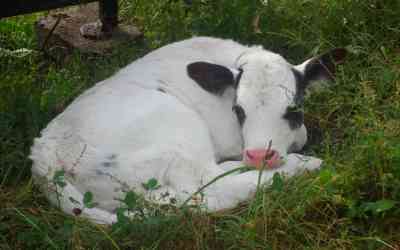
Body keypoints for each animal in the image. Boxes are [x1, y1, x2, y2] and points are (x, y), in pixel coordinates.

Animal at [29, 36, 346, 224]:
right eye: (238, 110)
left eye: (294, 109)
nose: (258, 156)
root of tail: (43, 152)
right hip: (177, 132)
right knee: (206, 189)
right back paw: (304, 164)